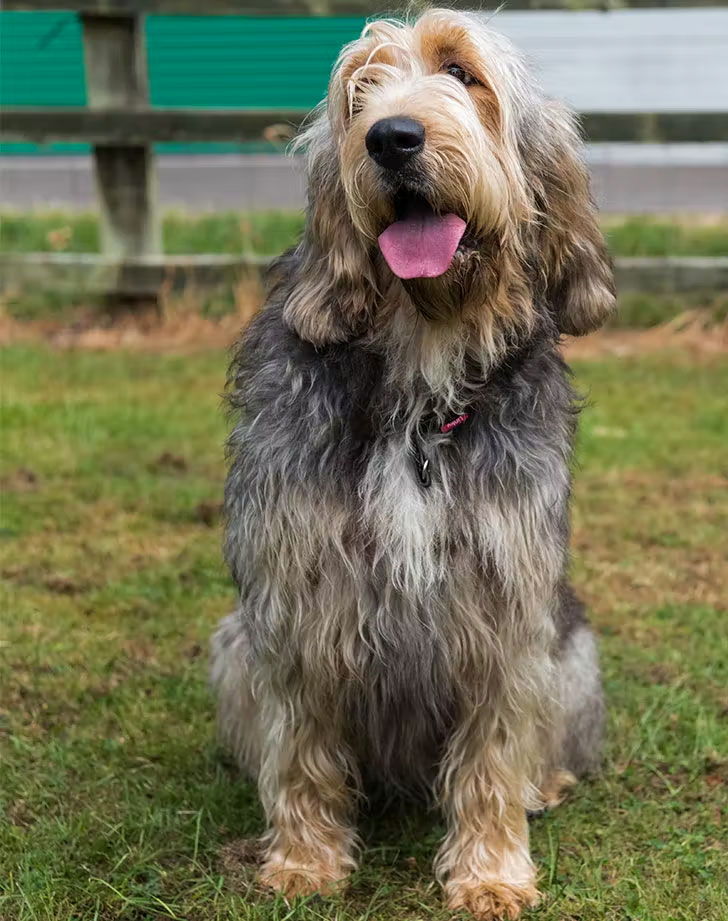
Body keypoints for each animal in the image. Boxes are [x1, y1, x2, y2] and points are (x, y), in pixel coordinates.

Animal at [212, 9, 616, 920]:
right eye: (358, 87)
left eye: (461, 71)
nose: (390, 137)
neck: (419, 382)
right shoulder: (293, 592)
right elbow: (301, 744)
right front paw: (304, 860)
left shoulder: (506, 603)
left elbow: (494, 750)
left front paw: (492, 870)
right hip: (231, 644)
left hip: (571, 652)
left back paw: (544, 784)